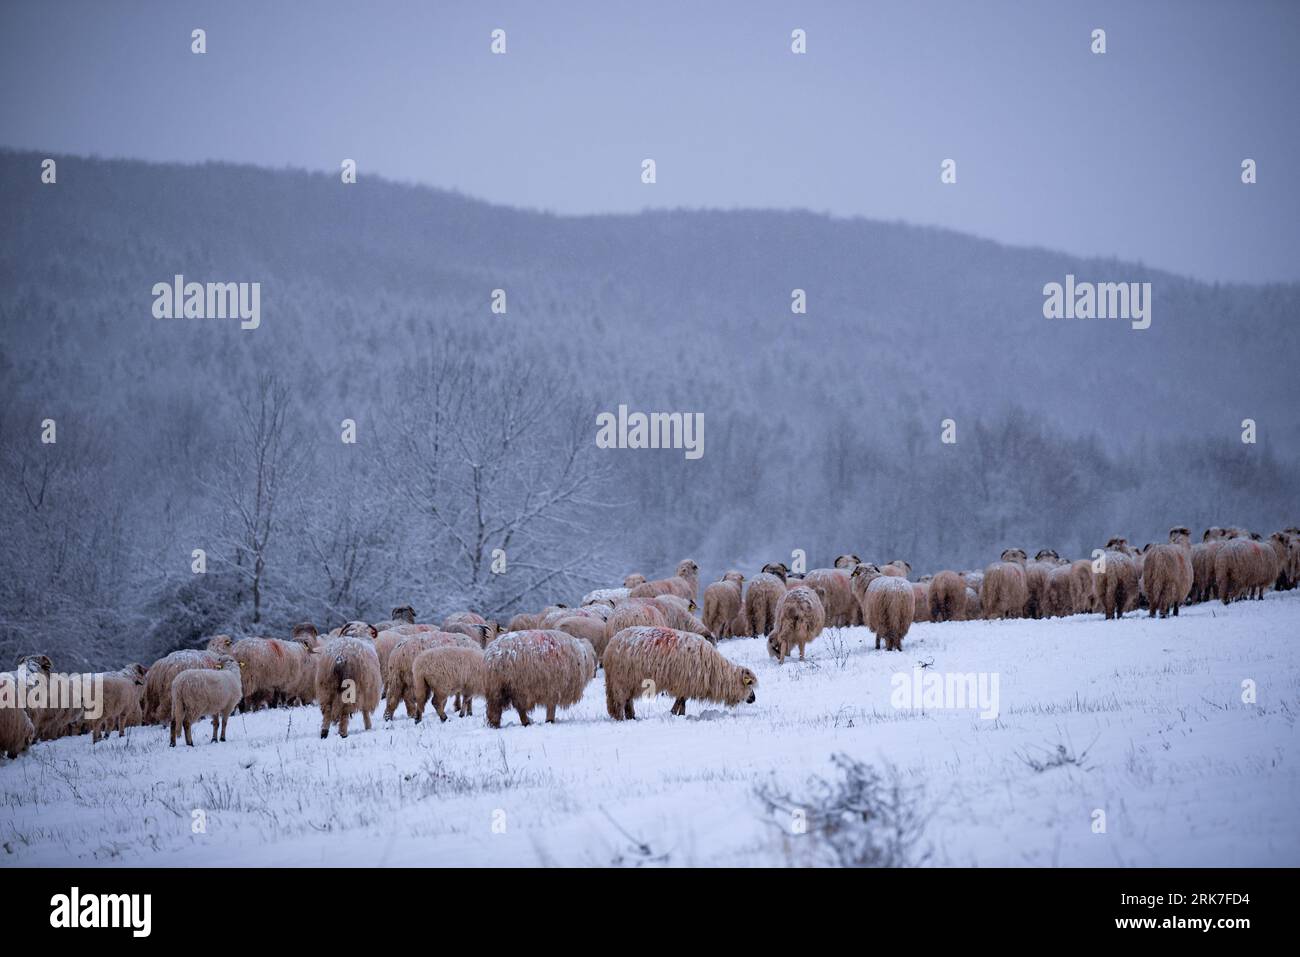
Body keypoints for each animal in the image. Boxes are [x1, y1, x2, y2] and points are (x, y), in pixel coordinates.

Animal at [604, 626, 757, 719]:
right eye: (749, 684)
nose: (753, 698)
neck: (715, 671)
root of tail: (611, 643)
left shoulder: (685, 684)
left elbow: (682, 701)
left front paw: (680, 714)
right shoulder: (684, 682)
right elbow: (680, 701)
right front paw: (674, 713)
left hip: (628, 682)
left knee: (627, 701)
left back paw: (632, 717)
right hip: (620, 680)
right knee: (619, 701)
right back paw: (621, 718)